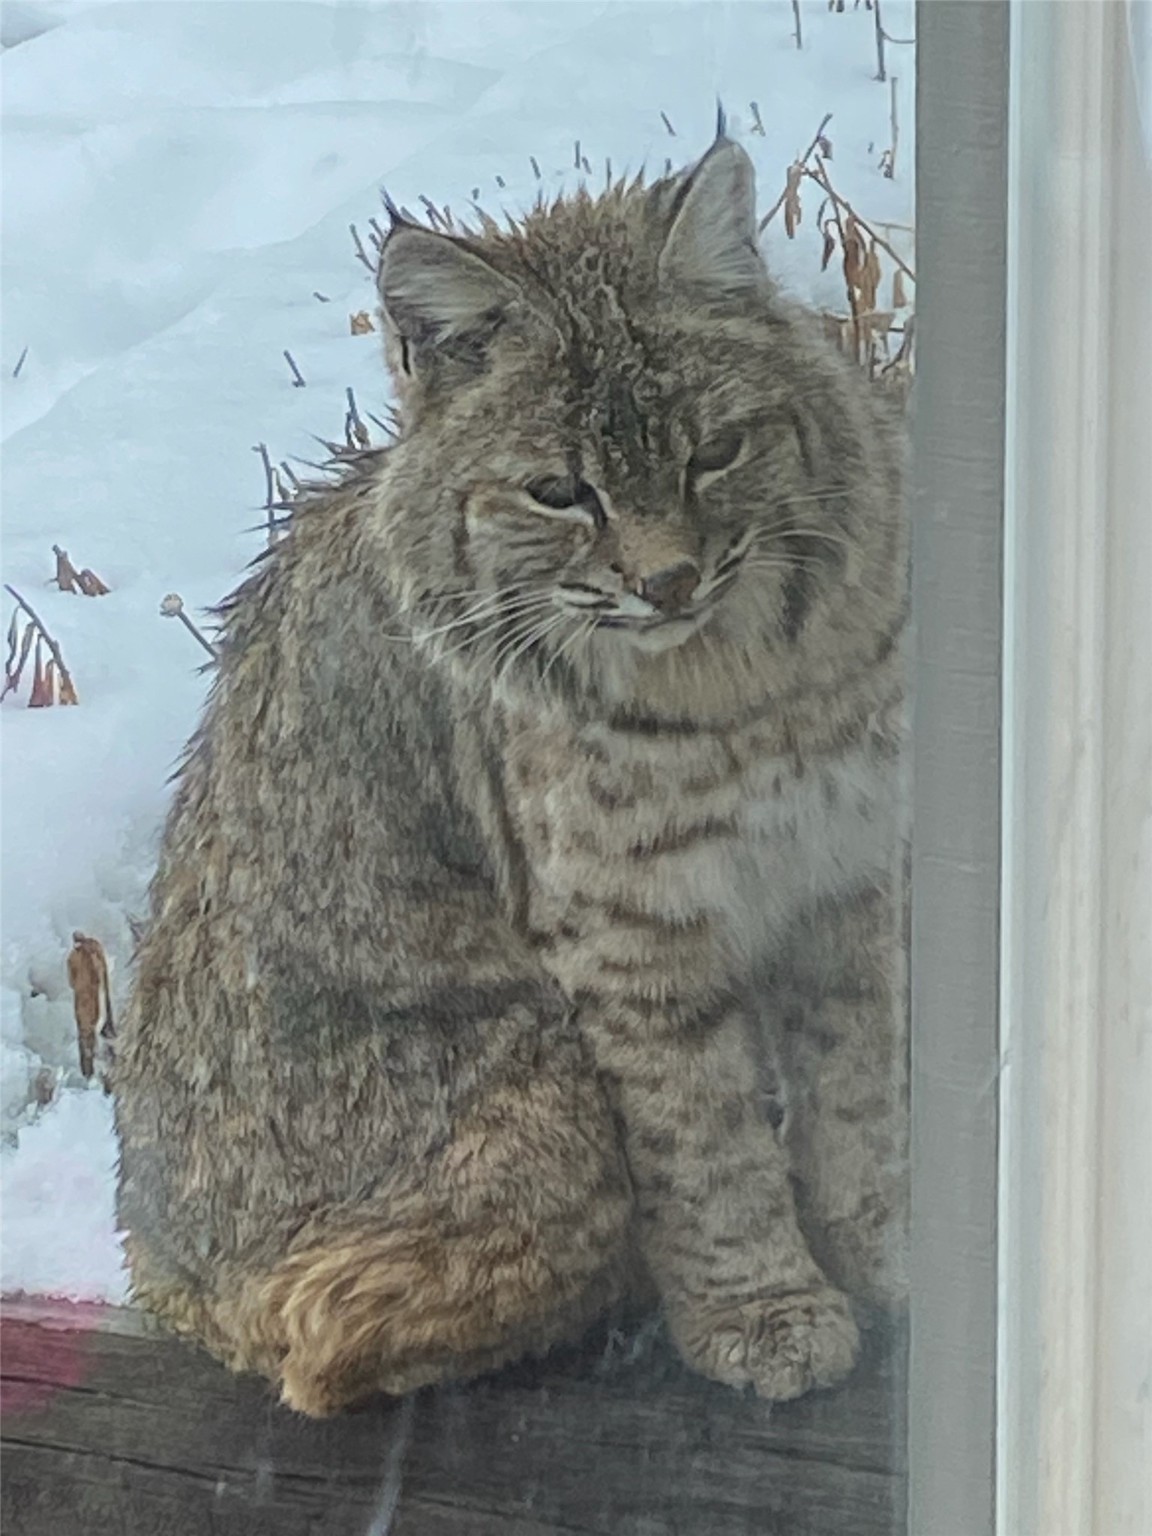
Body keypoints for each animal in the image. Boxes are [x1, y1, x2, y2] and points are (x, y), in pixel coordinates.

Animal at [114, 131, 908, 1419]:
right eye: (559, 493)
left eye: (716, 452)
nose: (669, 583)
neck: (742, 677)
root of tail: (158, 1267)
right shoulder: (631, 929)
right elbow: (703, 1133)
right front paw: (760, 1309)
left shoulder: (846, 854)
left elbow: (856, 1079)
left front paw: (886, 1245)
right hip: (542, 1098)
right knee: (319, 1349)